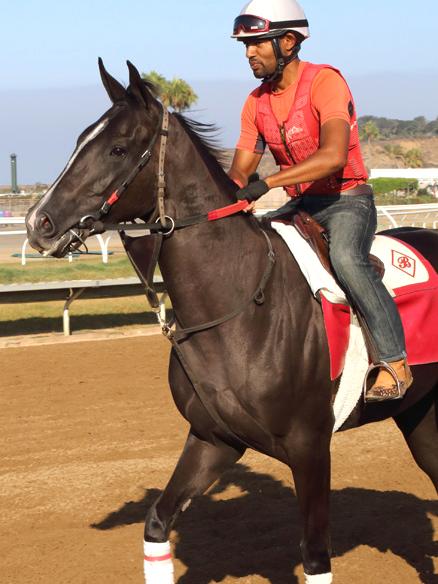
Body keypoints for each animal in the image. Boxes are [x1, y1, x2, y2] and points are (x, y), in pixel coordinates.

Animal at [25, 61, 436, 580]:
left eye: (117, 148)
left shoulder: (310, 446)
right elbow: (156, 523)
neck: (239, 310)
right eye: (80, 138)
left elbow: (315, 554)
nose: (38, 223)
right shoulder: (213, 438)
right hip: (420, 416)